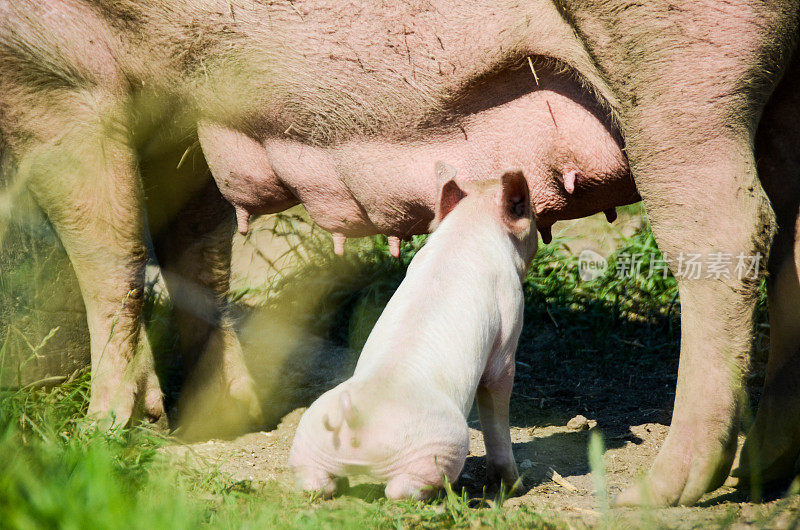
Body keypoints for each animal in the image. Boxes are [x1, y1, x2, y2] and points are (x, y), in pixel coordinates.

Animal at [290, 171, 536, 498]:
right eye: (534, 215)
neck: (467, 228)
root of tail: (357, 421)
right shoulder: (509, 317)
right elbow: (496, 389)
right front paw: (516, 487)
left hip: (310, 435)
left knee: (314, 482)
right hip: (443, 443)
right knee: (400, 489)